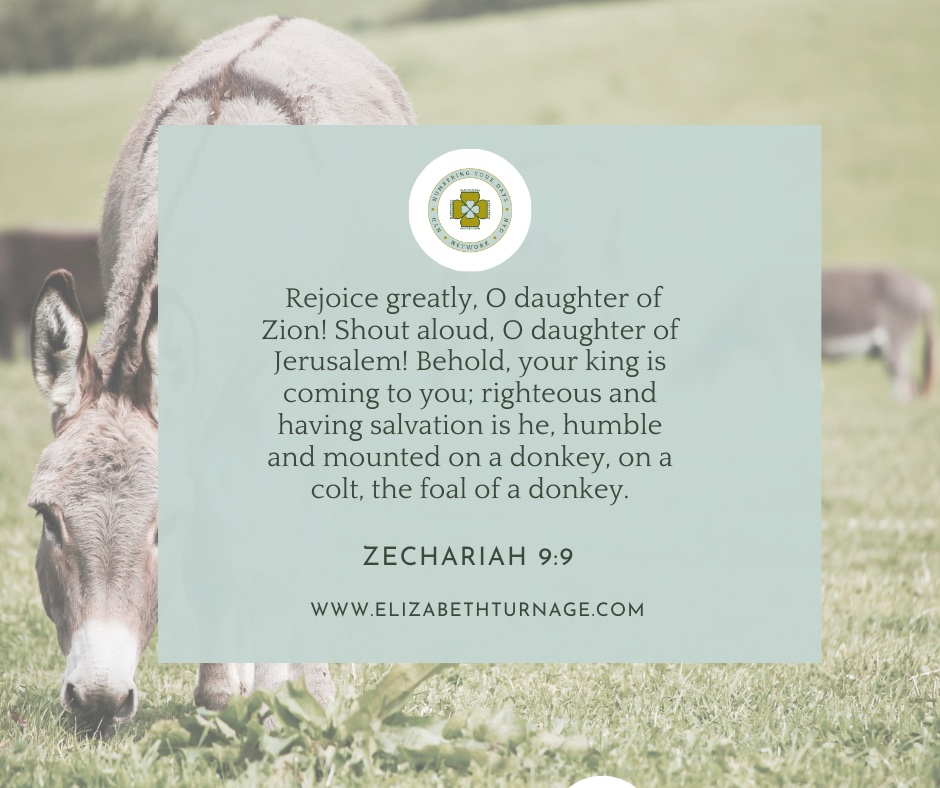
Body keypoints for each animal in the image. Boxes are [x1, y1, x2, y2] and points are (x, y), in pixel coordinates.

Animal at [27, 16, 414, 737]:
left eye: (161, 529)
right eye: (48, 521)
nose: (97, 700)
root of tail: (299, 20)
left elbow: (277, 558)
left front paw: (301, 700)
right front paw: (221, 698)